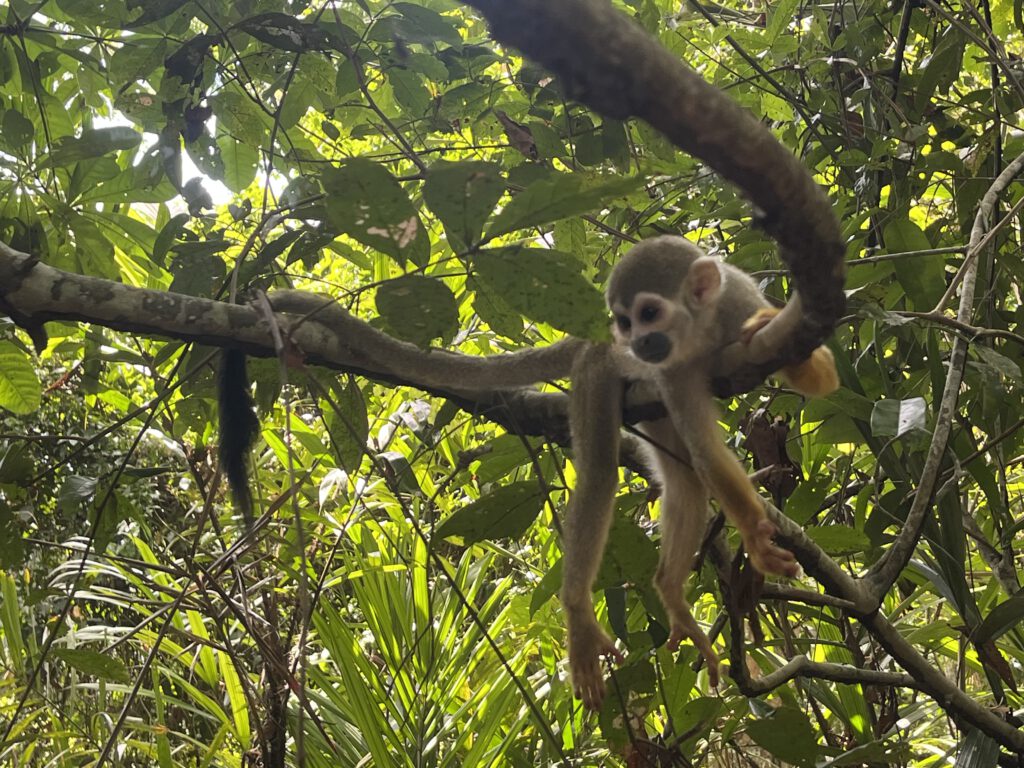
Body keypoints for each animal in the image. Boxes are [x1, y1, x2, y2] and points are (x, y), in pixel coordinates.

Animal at [559, 235, 838, 710]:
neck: (702, 329)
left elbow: (822, 380)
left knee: (682, 480)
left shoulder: (741, 304)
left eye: (648, 314)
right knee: (600, 474)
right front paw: (755, 539)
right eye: (624, 321)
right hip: (595, 373)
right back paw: (581, 611)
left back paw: (670, 589)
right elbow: (706, 453)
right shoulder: (671, 369)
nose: (634, 342)